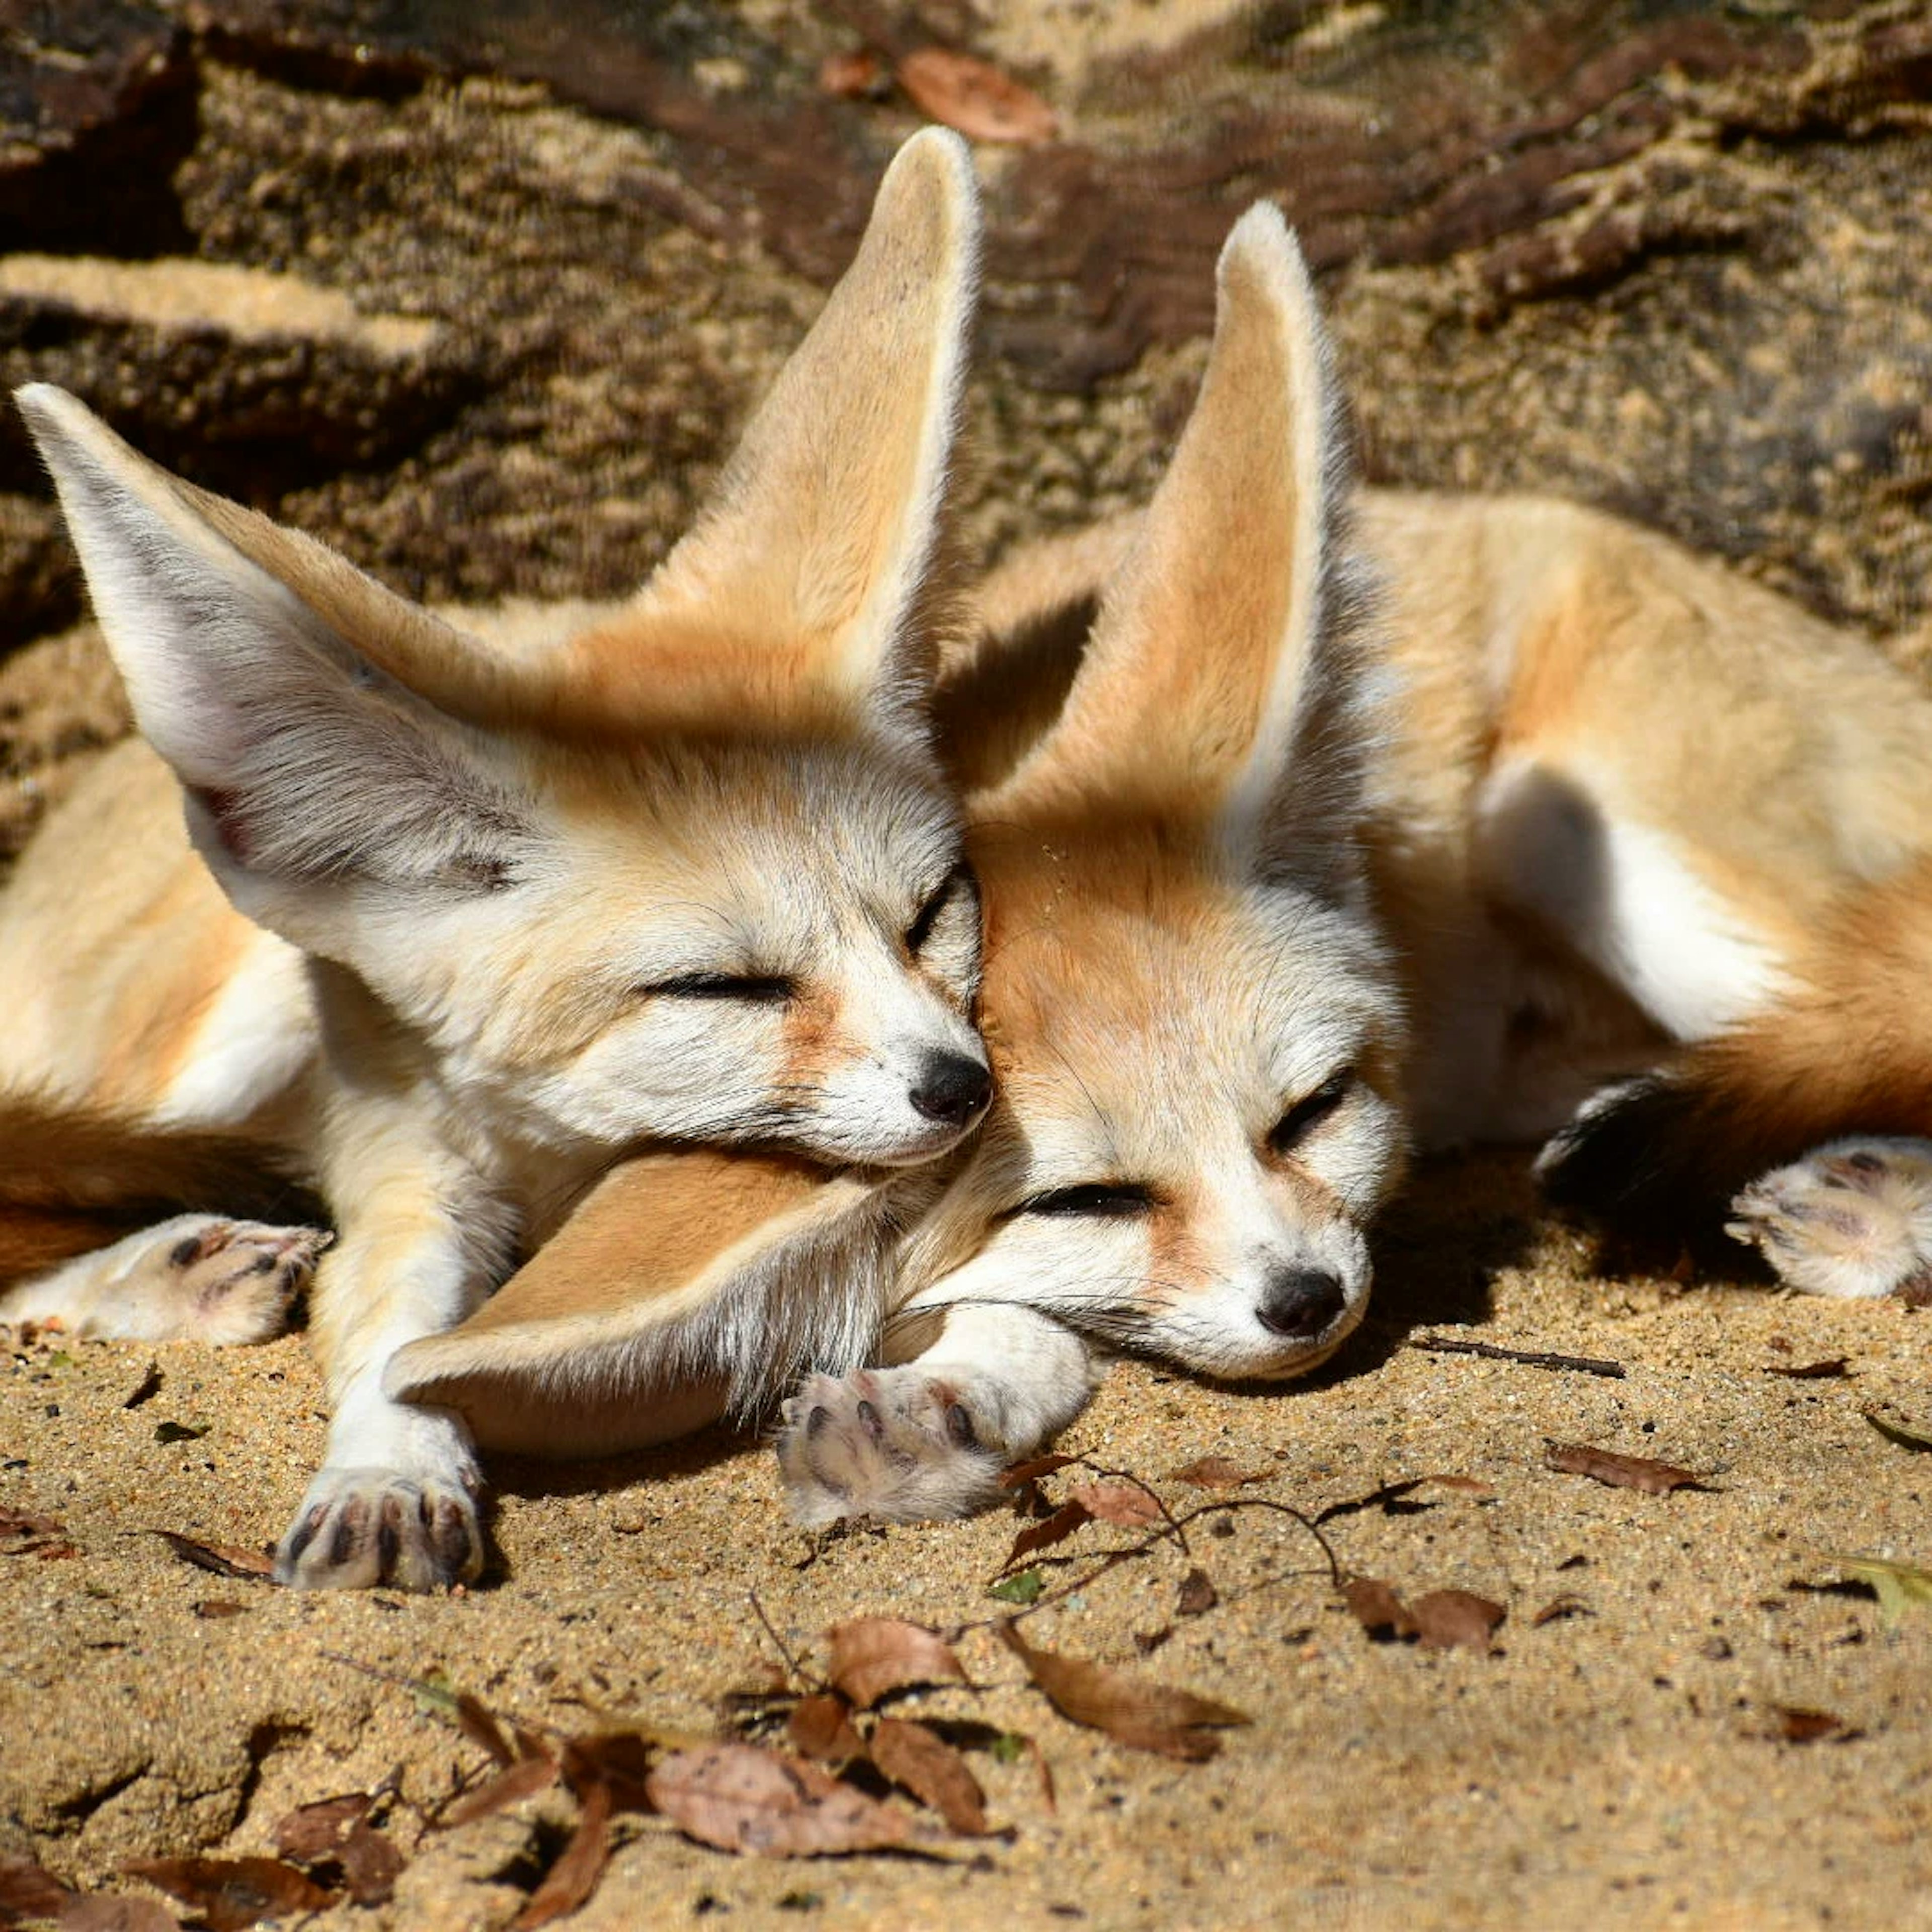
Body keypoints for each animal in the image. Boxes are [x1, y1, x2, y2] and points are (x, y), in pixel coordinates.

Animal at [0, 132, 997, 1584]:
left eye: (930, 914)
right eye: (724, 989)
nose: (966, 1087)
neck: (569, 1152)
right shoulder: (404, 1150)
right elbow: (396, 1329)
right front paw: (389, 1464)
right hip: (199, 1054)